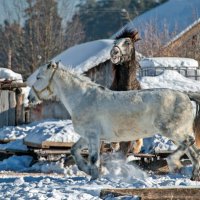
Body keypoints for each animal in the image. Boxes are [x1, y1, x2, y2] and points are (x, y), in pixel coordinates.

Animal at [27, 61, 200, 180]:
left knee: (189, 143)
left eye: (39, 77)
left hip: (170, 130)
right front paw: (88, 170)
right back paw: (194, 176)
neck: (83, 98)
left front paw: (95, 176)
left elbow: (94, 158)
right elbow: (74, 150)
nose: (30, 97)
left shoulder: (93, 136)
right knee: (193, 151)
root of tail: (185, 96)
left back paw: (173, 162)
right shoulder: (87, 136)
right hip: (177, 133)